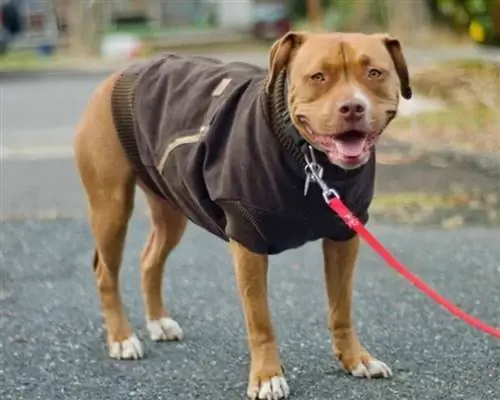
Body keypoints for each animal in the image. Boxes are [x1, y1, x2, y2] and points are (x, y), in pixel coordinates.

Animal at [73, 32, 410, 400]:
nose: (352, 107)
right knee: (105, 273)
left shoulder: (343, 237)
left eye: (375, 73)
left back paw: (158, 322)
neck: (309, 159)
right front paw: (267, 377)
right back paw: (121, 338)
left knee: (150, 259)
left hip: (171, 207)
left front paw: (355, 360)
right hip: (111, 206)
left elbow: (342, 308)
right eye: (318, 76)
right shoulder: (248, 242)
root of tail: (117, 75)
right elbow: (260, 320)